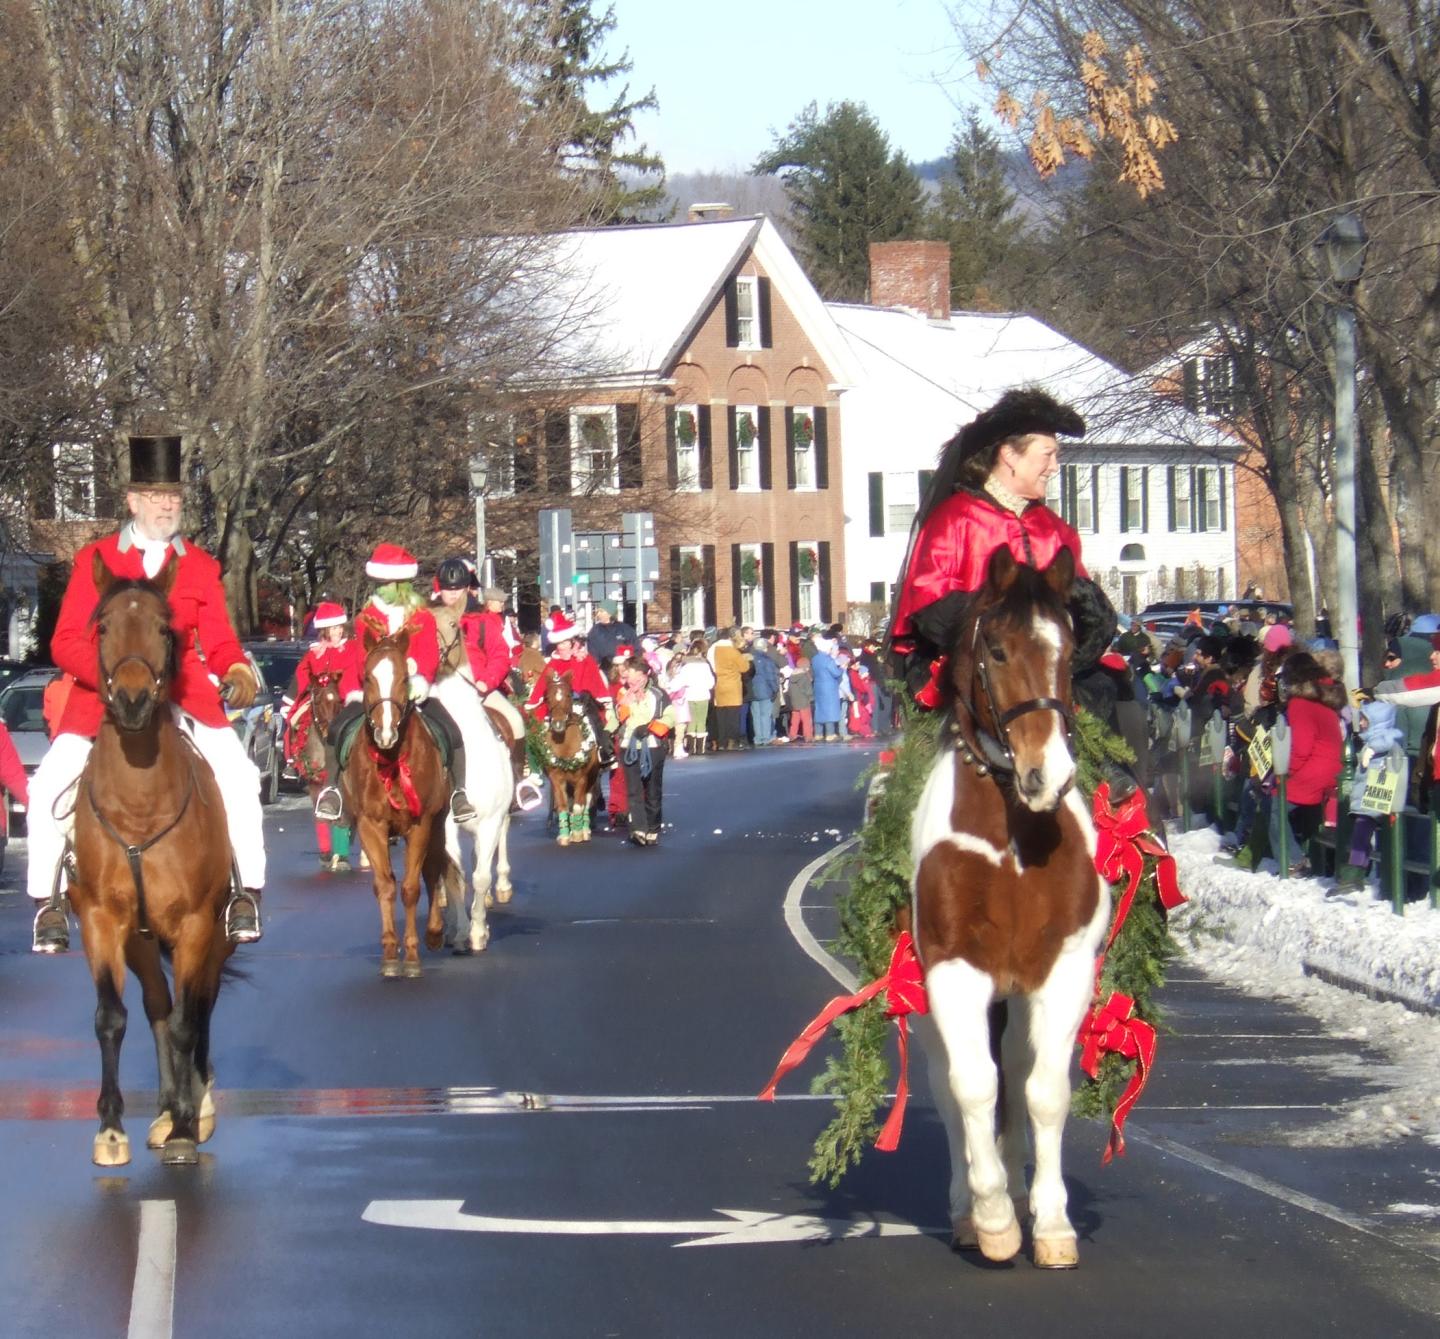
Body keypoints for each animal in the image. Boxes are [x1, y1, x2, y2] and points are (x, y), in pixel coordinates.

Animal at [68, 552, 233, 1157]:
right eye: (103, 627)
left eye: (165, 628)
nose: (133, 700)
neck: (140, 807)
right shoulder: (101, 920)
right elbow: (111, 1017)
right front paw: (111, 1126)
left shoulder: (195, 924)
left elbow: (190, 1020)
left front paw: (187, 1124)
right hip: (140, 942)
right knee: (159, 1005)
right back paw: (164, 1108)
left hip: (219, 936)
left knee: (200, 1006)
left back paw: (193, 1105)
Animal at [342, 621, 455, 973]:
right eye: (367, 677)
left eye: (405, 677)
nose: (386, 732)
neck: (391, 760)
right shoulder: (370, 826)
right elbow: (386, 886)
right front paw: (391, 952)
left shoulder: (420, 825)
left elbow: (410, 888)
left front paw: (413, 953)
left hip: (438, 824)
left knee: (432, 870)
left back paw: (434, 932)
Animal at [426, 656, 512, 950]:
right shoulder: (444, 828)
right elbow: (456, 875)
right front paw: (463, 929)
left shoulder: (490, 823)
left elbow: (481, 876)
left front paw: (476, 931)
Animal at [541, 668, 601, 846]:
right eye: (547, 697)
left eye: (568, 695)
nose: (558, 724)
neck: (565, 745)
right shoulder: (556, 778)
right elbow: (562, 805)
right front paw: (564, 836)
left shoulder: (582, 778)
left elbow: (578, 806)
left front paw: (578, 834)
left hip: (592, 777)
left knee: (586, 800)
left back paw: (585, 829)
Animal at [910, 544, 1111, 1261]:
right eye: (996, 650)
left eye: (1070, 645)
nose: (1046, 772)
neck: (1013, 841)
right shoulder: (952, 968)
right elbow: (972, 1084)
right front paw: (992, 1214)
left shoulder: (1065, 968)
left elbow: (1043, 1092)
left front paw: (1050, 1222)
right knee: (949, 1082)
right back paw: (970, 1207)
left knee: (1019, 1071)